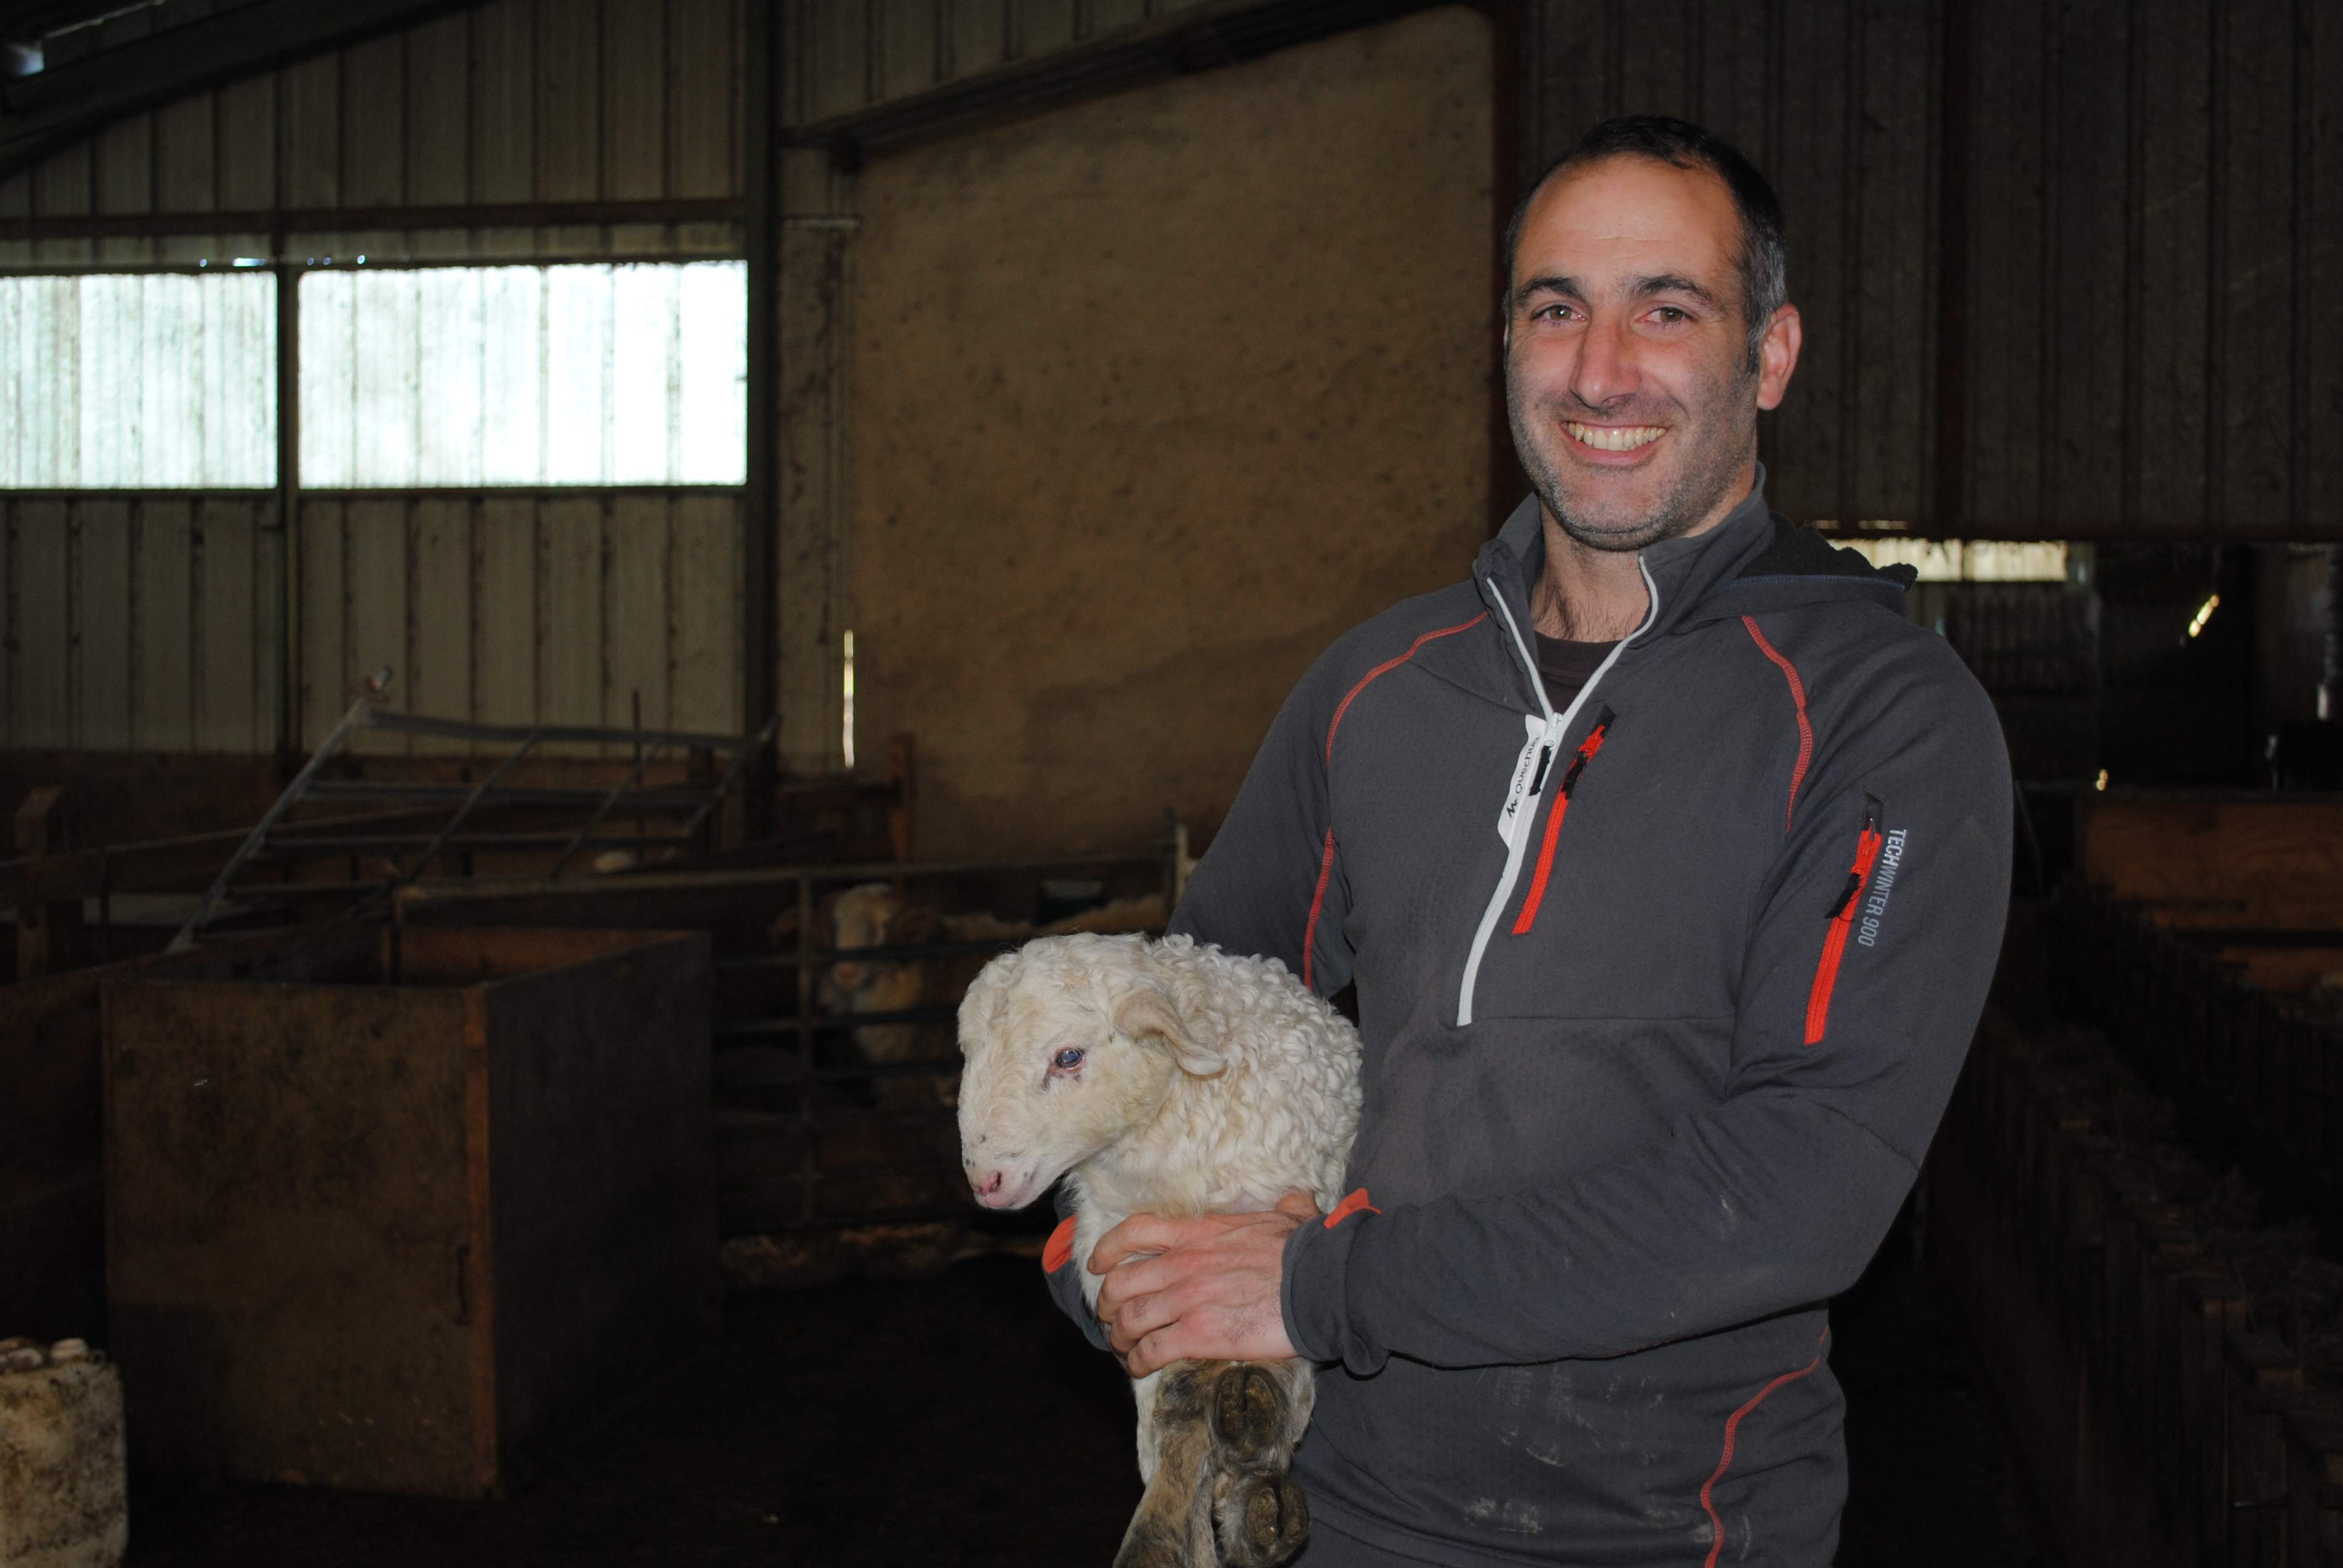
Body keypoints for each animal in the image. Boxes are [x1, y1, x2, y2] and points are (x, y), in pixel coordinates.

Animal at [957, 932, 1362, 1568]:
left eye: (1067, 1057)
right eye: (969, 1055)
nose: (986, 1181)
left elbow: (1263, 1374)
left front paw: (1253, 1462)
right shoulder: (1116, 1258)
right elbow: (1170, 1415)